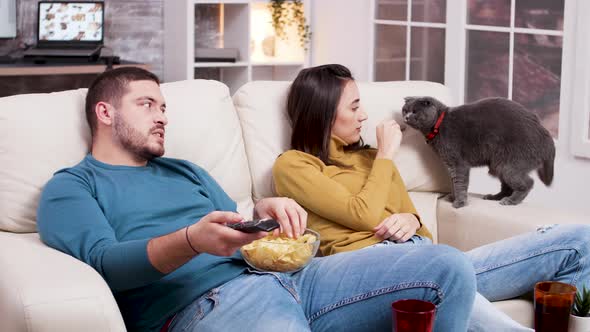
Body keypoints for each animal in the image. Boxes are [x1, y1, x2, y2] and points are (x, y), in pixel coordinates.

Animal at [400, 96, 556, 209]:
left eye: (414, 111)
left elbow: (460, 183)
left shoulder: (458, 163)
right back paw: (494, 197)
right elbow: (453, 182)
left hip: (509, 165)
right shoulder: (450, 164)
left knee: (528, 182)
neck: (438, 126)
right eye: (405, 110)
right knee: (507, 187)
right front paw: (453, 197)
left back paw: (511, 201)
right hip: (498, 165)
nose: (406, 117)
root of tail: (546, 134)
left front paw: (460, 202)